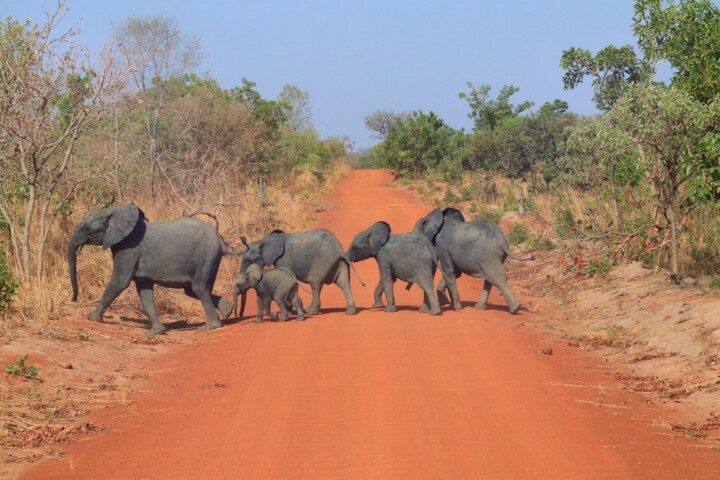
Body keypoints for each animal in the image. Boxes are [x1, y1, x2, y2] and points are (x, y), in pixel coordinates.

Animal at [68, 203, 238, 334]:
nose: (73, 300)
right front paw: (158, 332)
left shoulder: (128, 247)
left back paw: (211, 327)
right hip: (212, 257)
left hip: (206, 254)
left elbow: (120, 282)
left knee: (198, 288)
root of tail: (220, 238)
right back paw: (227, 311)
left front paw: (91, 317)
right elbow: (144, 292)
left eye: (87, 228)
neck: (114, 212)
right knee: (194, 290)